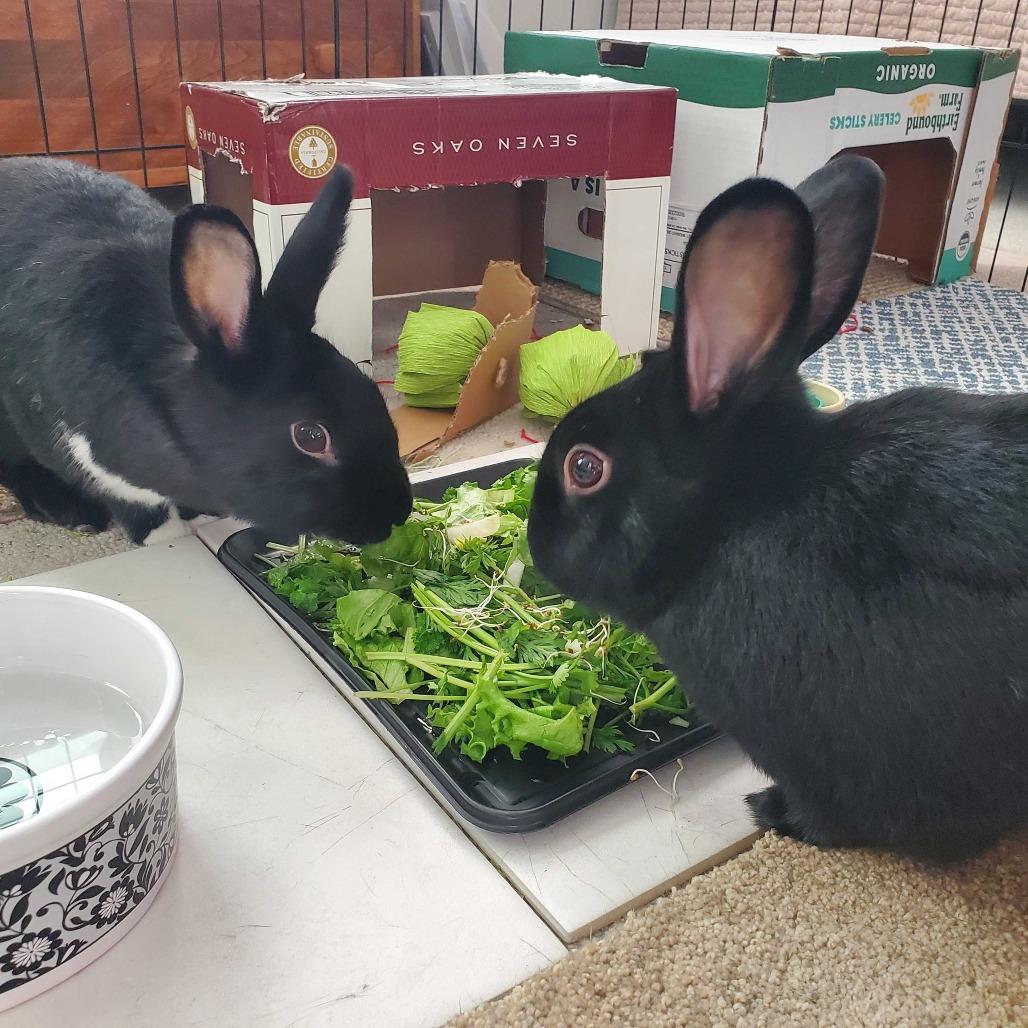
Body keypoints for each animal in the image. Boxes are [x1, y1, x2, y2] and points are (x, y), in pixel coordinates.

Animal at [0, 157, 412, 546]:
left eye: (373, 391)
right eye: (310, 436)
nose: (397, 514)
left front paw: (198, 518)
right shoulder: (93, 463)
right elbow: (138, 509)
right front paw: (168, 535)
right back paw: (70, 512)